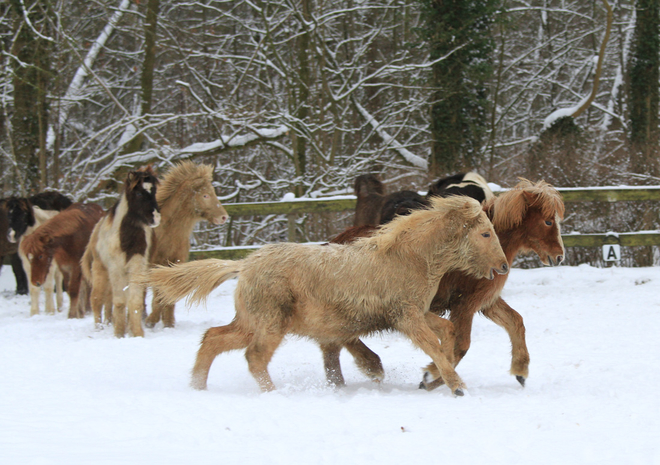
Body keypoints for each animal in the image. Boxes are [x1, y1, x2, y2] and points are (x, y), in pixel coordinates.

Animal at [143, 161, 228, 328]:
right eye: (205, 195)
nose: (223, 217)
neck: (166, 232)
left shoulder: (176, 263)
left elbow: (168, 295)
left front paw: (168, 323)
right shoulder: (155, 265)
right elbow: (158, 293)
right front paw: (152, 321)